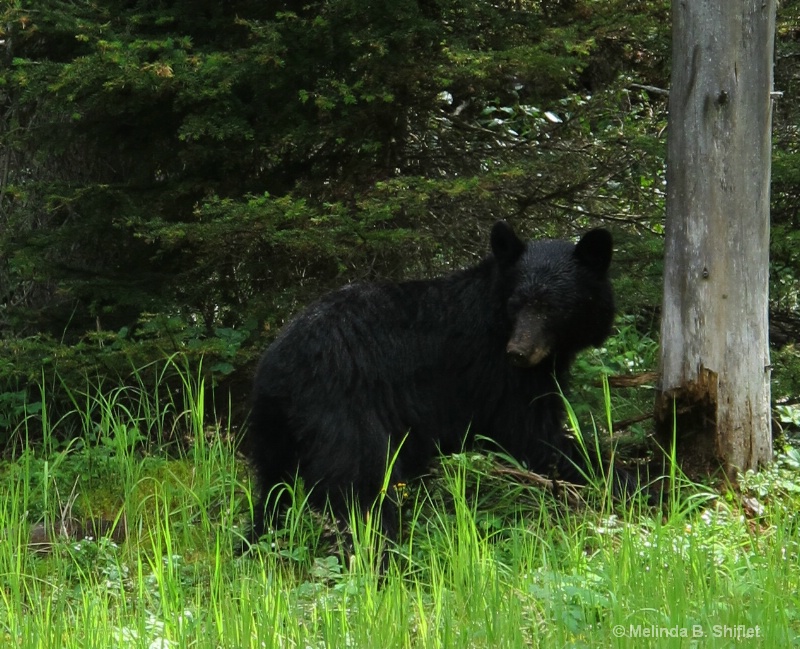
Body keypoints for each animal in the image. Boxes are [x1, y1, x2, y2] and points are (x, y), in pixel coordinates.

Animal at [247, 220, 616, 540]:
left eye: (551, 307)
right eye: (517, 303)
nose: (519, 352)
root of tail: (279, 368)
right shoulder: (499, 376)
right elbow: (535, 436)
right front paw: (622, 479)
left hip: (274, 429)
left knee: (273, 488)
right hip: (344, 414)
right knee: (360, 489)